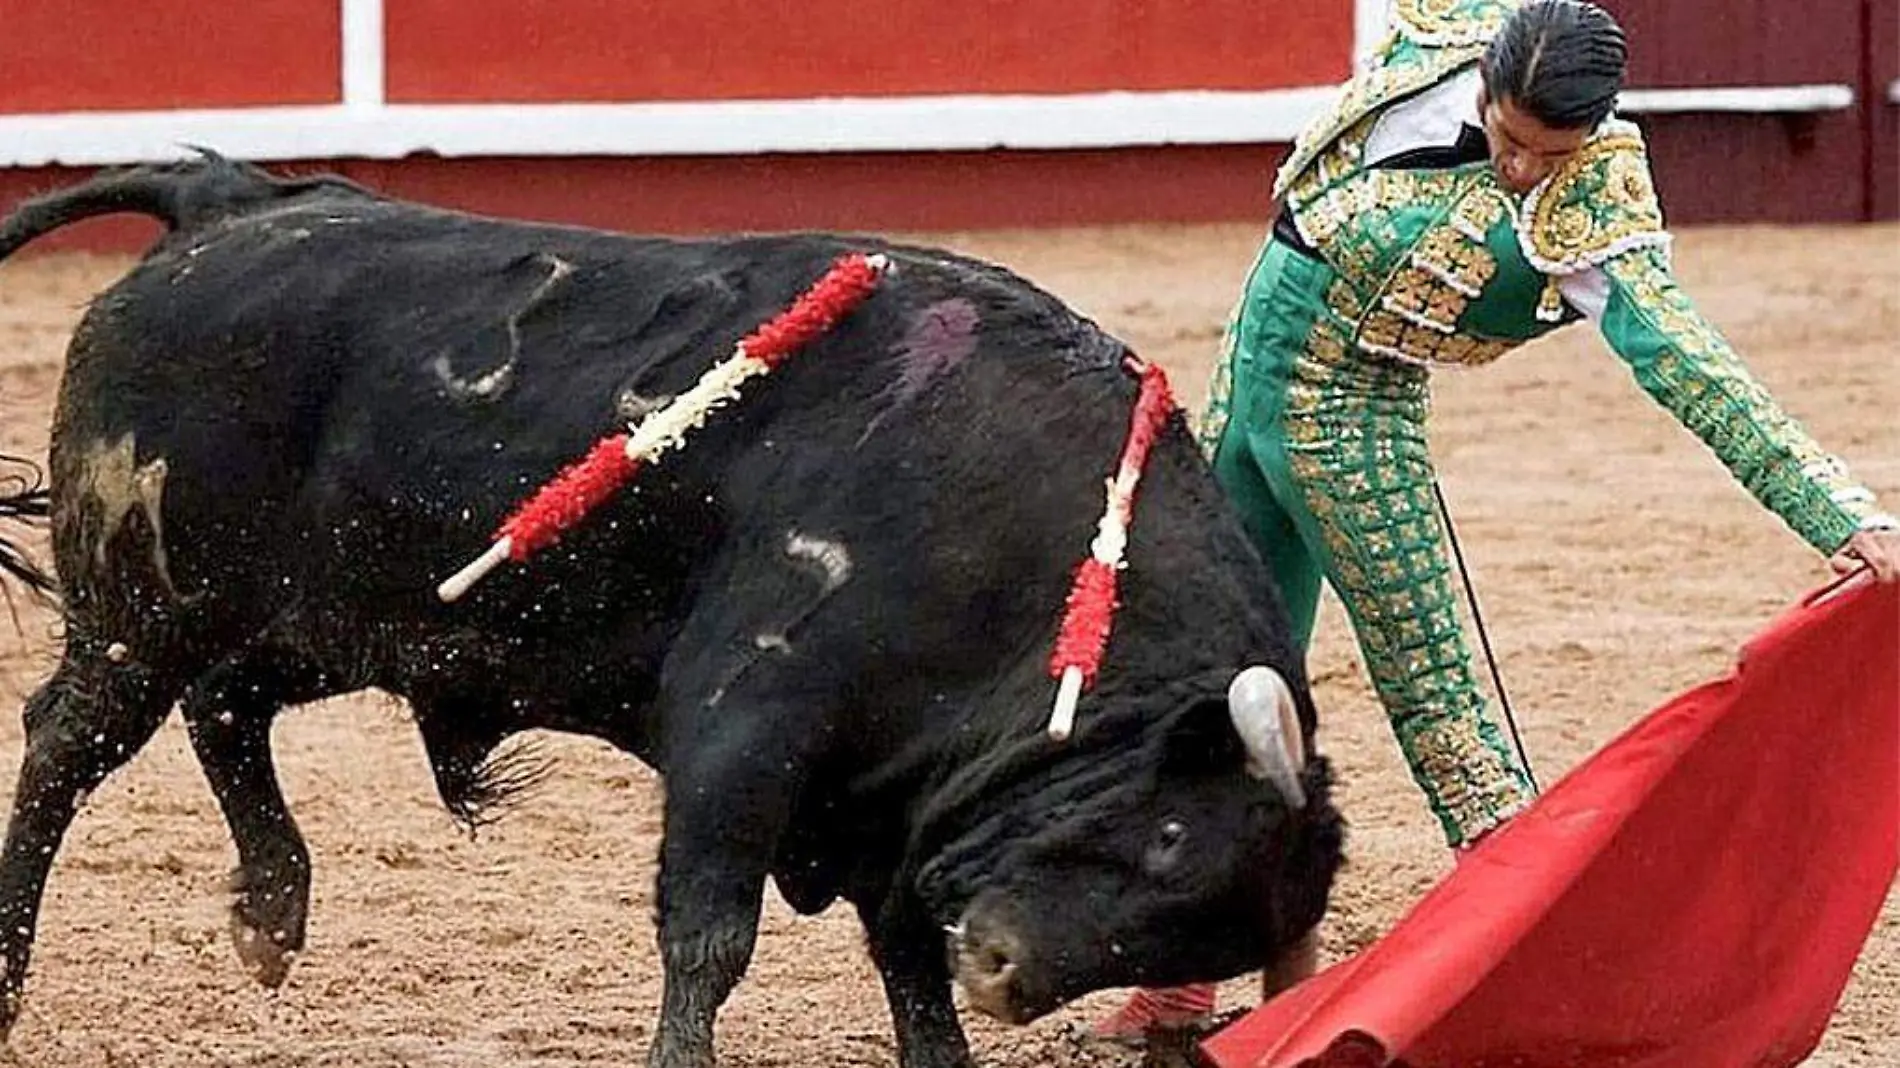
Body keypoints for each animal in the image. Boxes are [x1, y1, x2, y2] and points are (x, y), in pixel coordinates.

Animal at [0, 155, 1345, 1064]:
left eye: (1198, 931)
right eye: (1165, 835)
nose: (1006, 971)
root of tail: (224, 201)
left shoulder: (891, 790)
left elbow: (904, 953)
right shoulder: (745, 722)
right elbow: (711, 934)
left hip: (325, 612)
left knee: (228, 707)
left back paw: (274, 912)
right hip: (141, 608)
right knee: (65, 747)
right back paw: (13, 984)